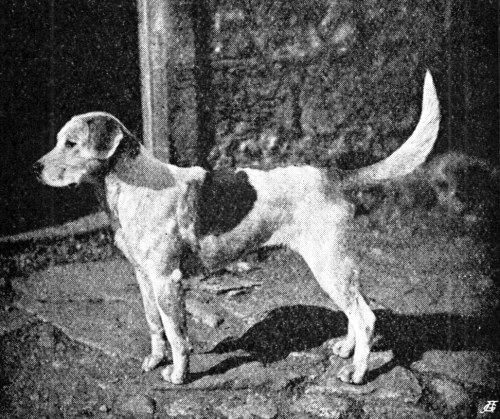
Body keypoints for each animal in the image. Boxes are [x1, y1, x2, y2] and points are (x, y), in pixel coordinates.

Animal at [34, 71, 440, 385]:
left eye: (71, 143)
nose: (35, 169)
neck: (132, 186)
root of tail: (334, 175)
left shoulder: (167, 280)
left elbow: (177, 335)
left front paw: (178, 375)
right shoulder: (144, 277)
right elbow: (155, 325)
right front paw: (154, 360)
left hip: (329, 266)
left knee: (366, 317)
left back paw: (356, 373)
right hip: (339, 268)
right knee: (358, 311)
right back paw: (346, 350)